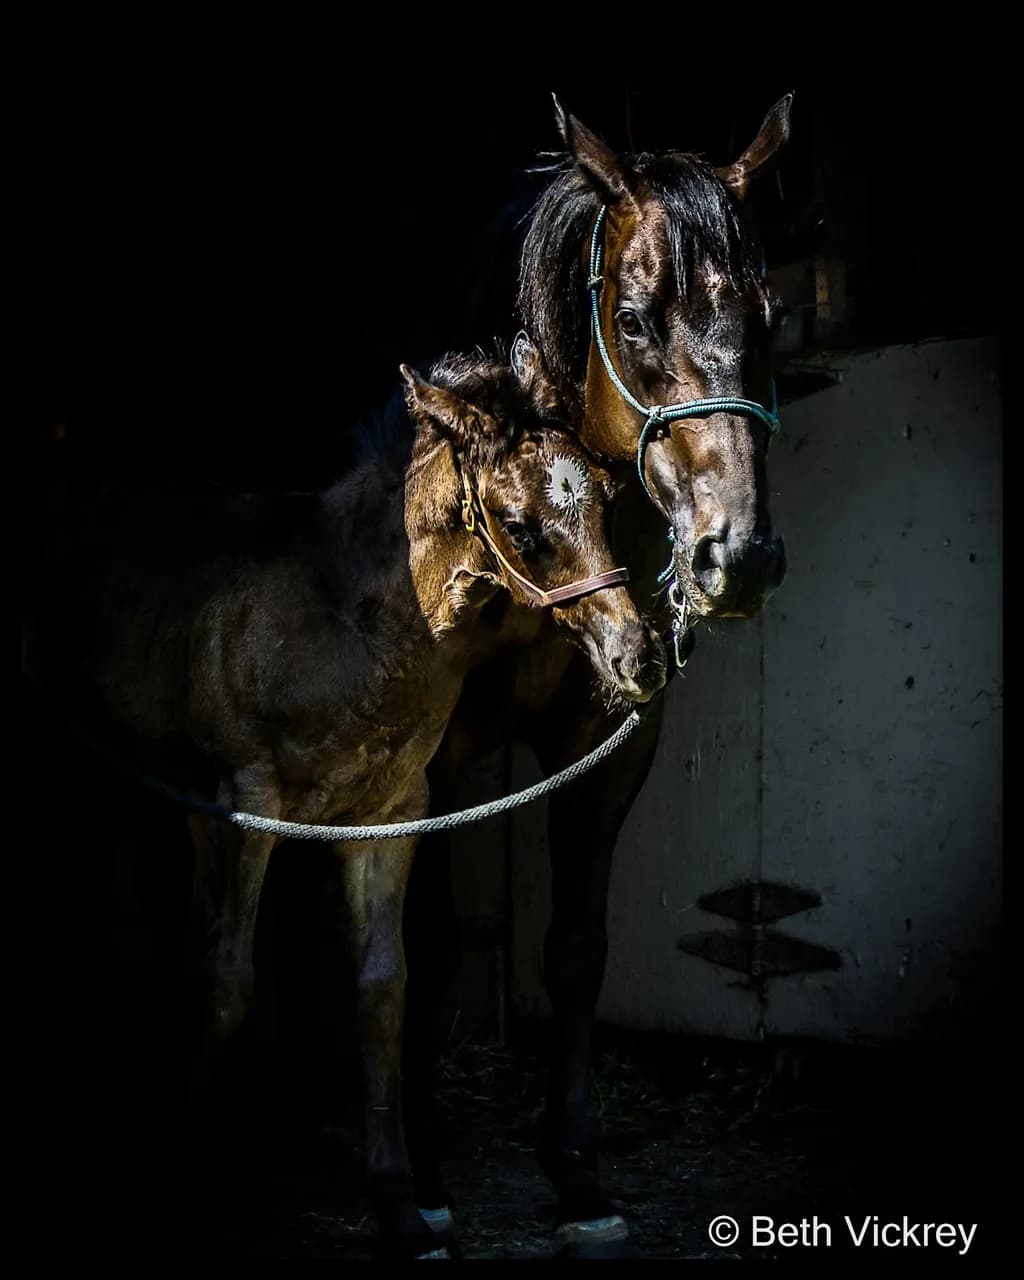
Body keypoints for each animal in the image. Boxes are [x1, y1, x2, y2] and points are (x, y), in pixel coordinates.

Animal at [24, 338, 666, 1260]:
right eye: (519, 526)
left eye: (607, 502)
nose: (636, 656)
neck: (343, 621)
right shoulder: (246, 802)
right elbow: (227, 979)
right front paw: (188, 1172)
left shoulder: (390, 816)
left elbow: (380, 987)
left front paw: (400, 1208)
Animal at [403, 96, 793, 1257]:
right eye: (630, 319)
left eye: (773, 314)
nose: (736, 556)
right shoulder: (427, 764)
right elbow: (428, 950)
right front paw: (424, 1179)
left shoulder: (607, 750)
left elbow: (576, 950)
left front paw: (576, 1174)